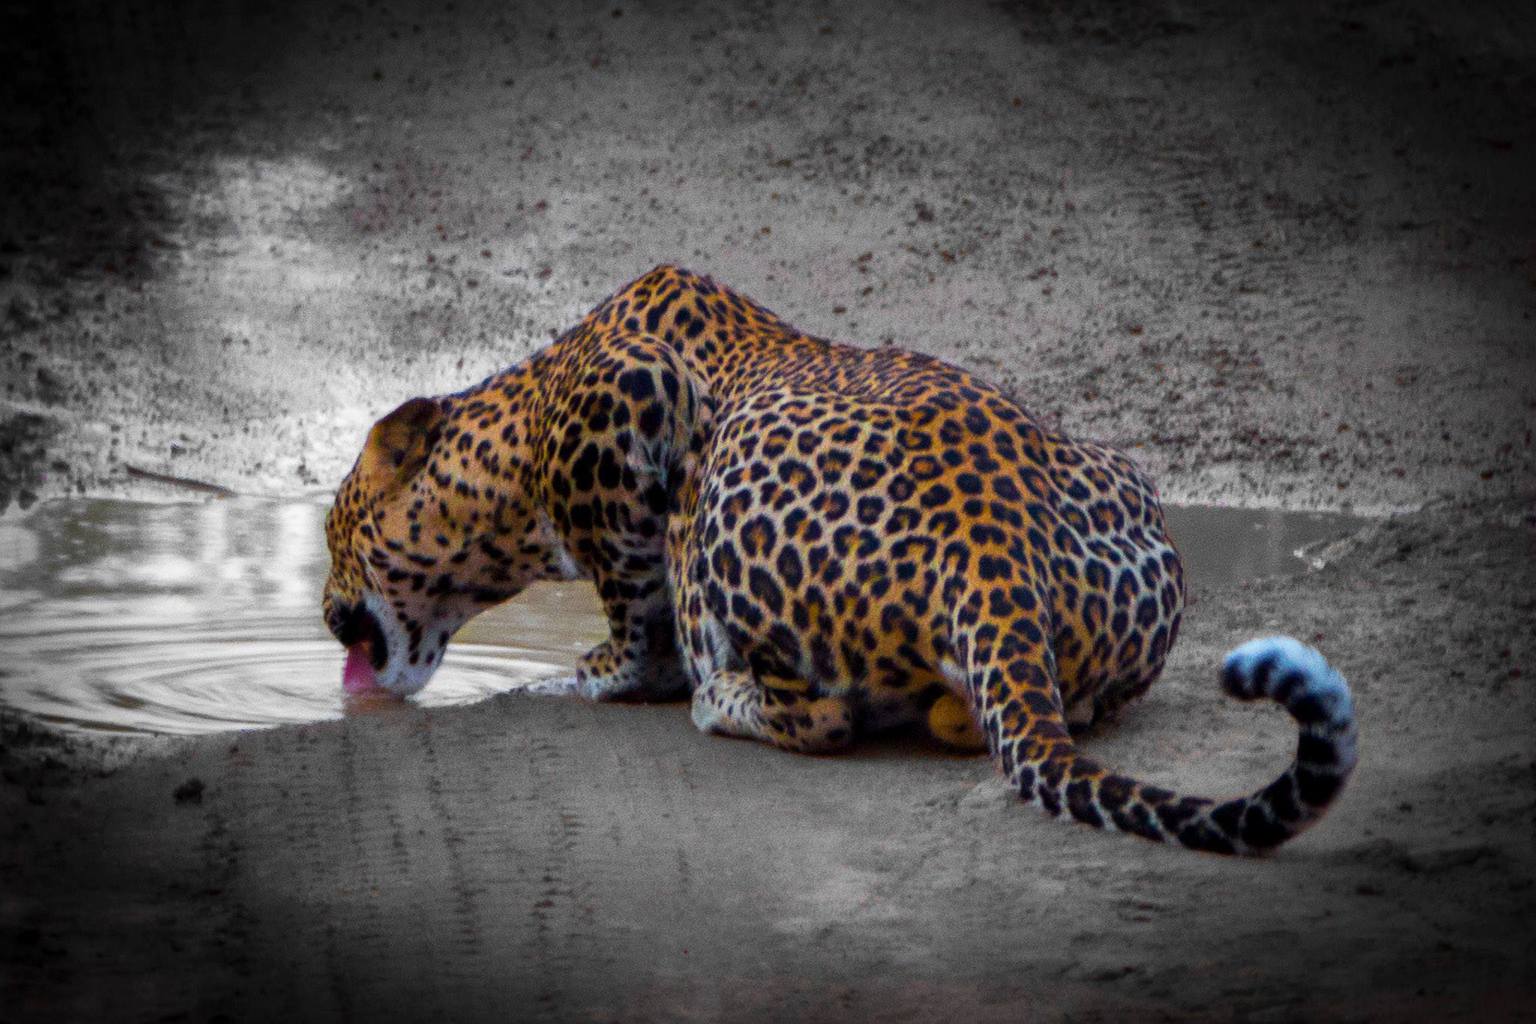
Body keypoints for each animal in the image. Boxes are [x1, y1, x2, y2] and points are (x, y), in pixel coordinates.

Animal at [324, 267, 1357, 859]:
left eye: (332, 538)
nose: (328, 614)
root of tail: (990, 544)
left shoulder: (628, 395)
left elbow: (631, 631)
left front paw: (576, 676)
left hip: (725, 515)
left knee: (818, 714)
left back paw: (720, 696)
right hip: (1130, 503)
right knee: (989, 715)